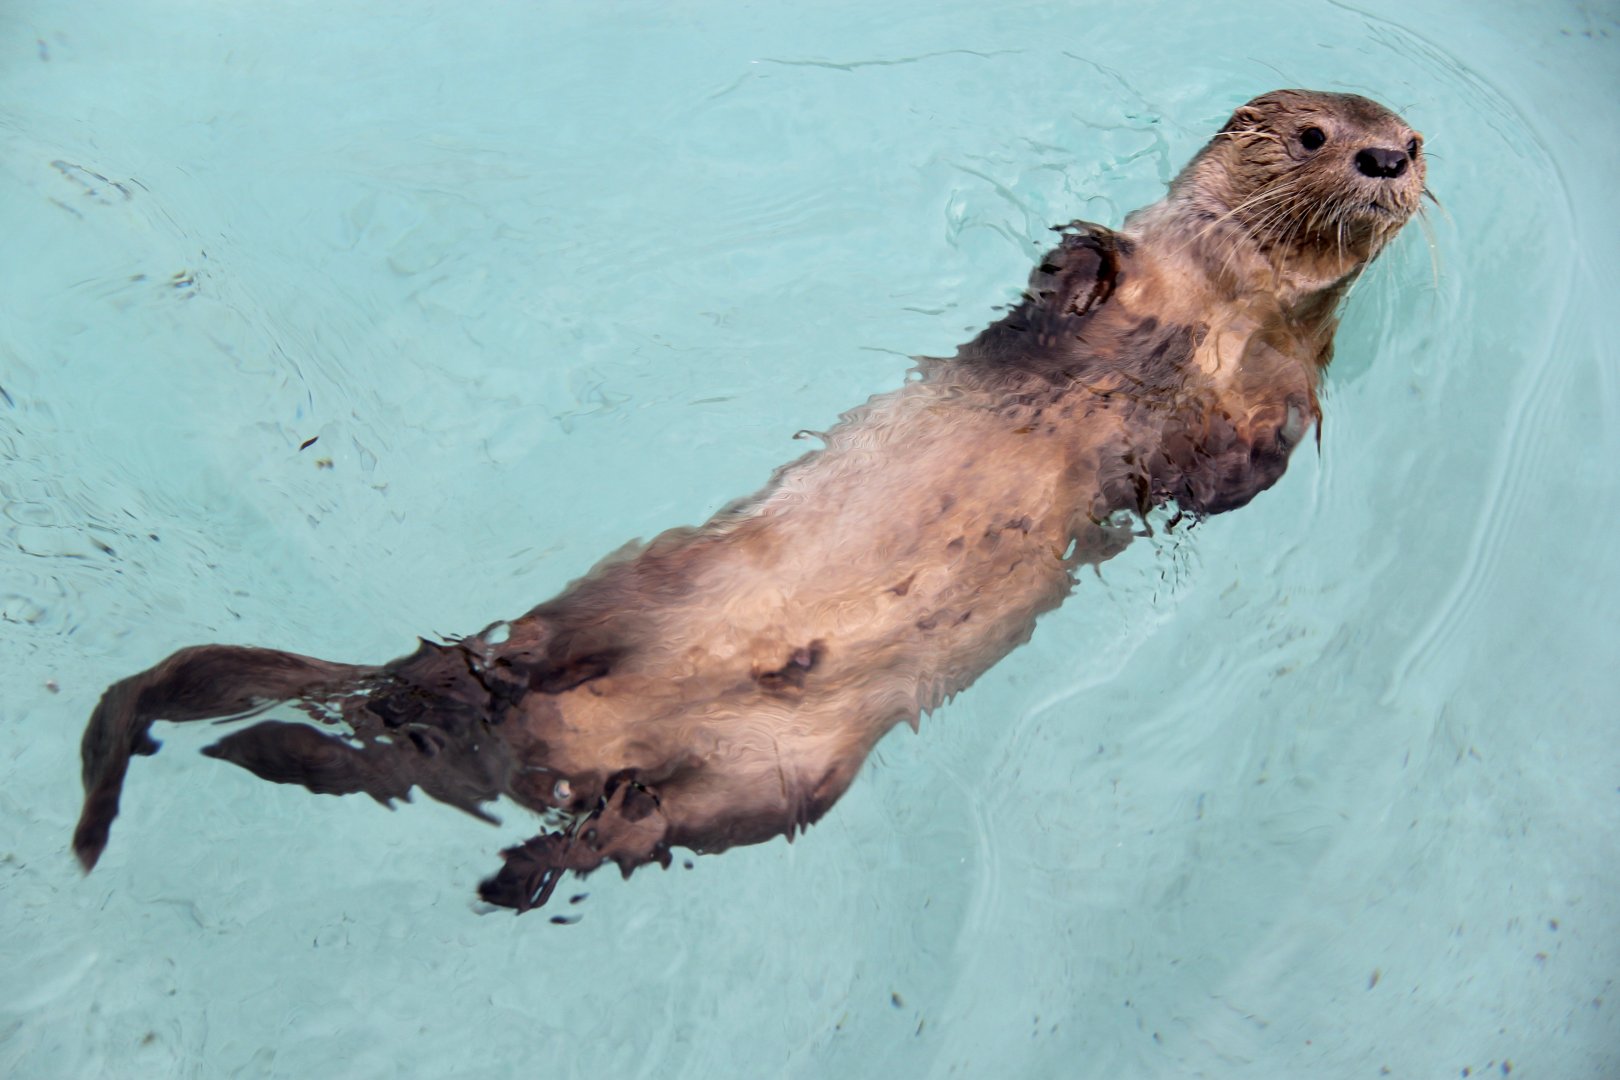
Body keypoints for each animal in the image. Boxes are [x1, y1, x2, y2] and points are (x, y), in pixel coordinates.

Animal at [72, 90, 1426, 913]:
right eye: (1316, 132)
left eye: (1405, 140)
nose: (1387, 155)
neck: (1207, 313)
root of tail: (536, 740)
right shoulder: (1117, 304)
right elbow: (1062, 296)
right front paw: (1079, 259)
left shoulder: (1281, 386)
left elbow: (1234, 470)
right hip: (619, 605)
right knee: (459, 692)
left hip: (772, 784)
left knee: (620, 821)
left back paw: (509, 859)